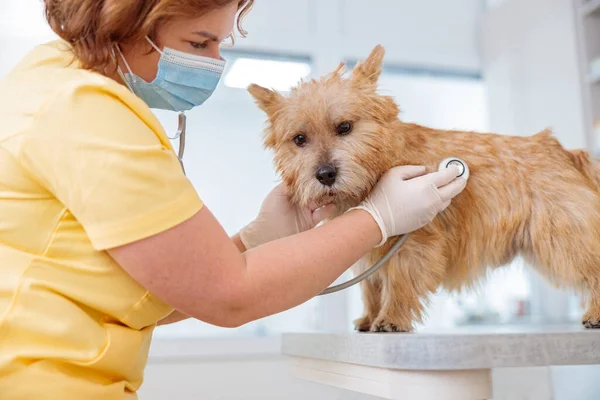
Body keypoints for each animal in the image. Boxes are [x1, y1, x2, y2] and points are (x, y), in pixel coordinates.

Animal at [246, 44, 600, 332]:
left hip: (563, 234)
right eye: (299, 139)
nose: (325, 174)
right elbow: (371, 286)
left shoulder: (414, 243)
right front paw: (369, 318)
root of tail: (561, 149)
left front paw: (390, 318)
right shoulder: (369, 249)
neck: (380, 169)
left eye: (344, 127)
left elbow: (399, 281)